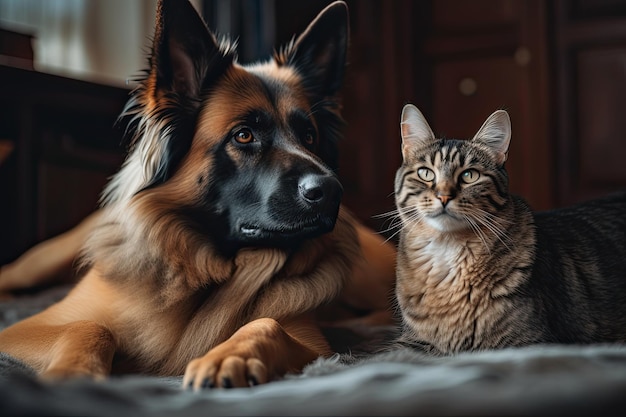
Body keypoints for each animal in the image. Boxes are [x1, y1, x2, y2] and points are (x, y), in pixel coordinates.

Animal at [0, 0, 394, 386]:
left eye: (309, 136)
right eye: (244, 135)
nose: (332, 192)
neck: (206, 268)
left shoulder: (314, 344)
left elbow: (266, 323)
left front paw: (229, 356)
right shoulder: (26, 328)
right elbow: (88, 326)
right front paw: (72, 373)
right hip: (41, 262)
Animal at [390, 104, 624, 354]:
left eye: (469, 175)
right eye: (425, 173)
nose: (444, 196)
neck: (448, 250)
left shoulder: (529, 342)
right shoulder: (412, 340)